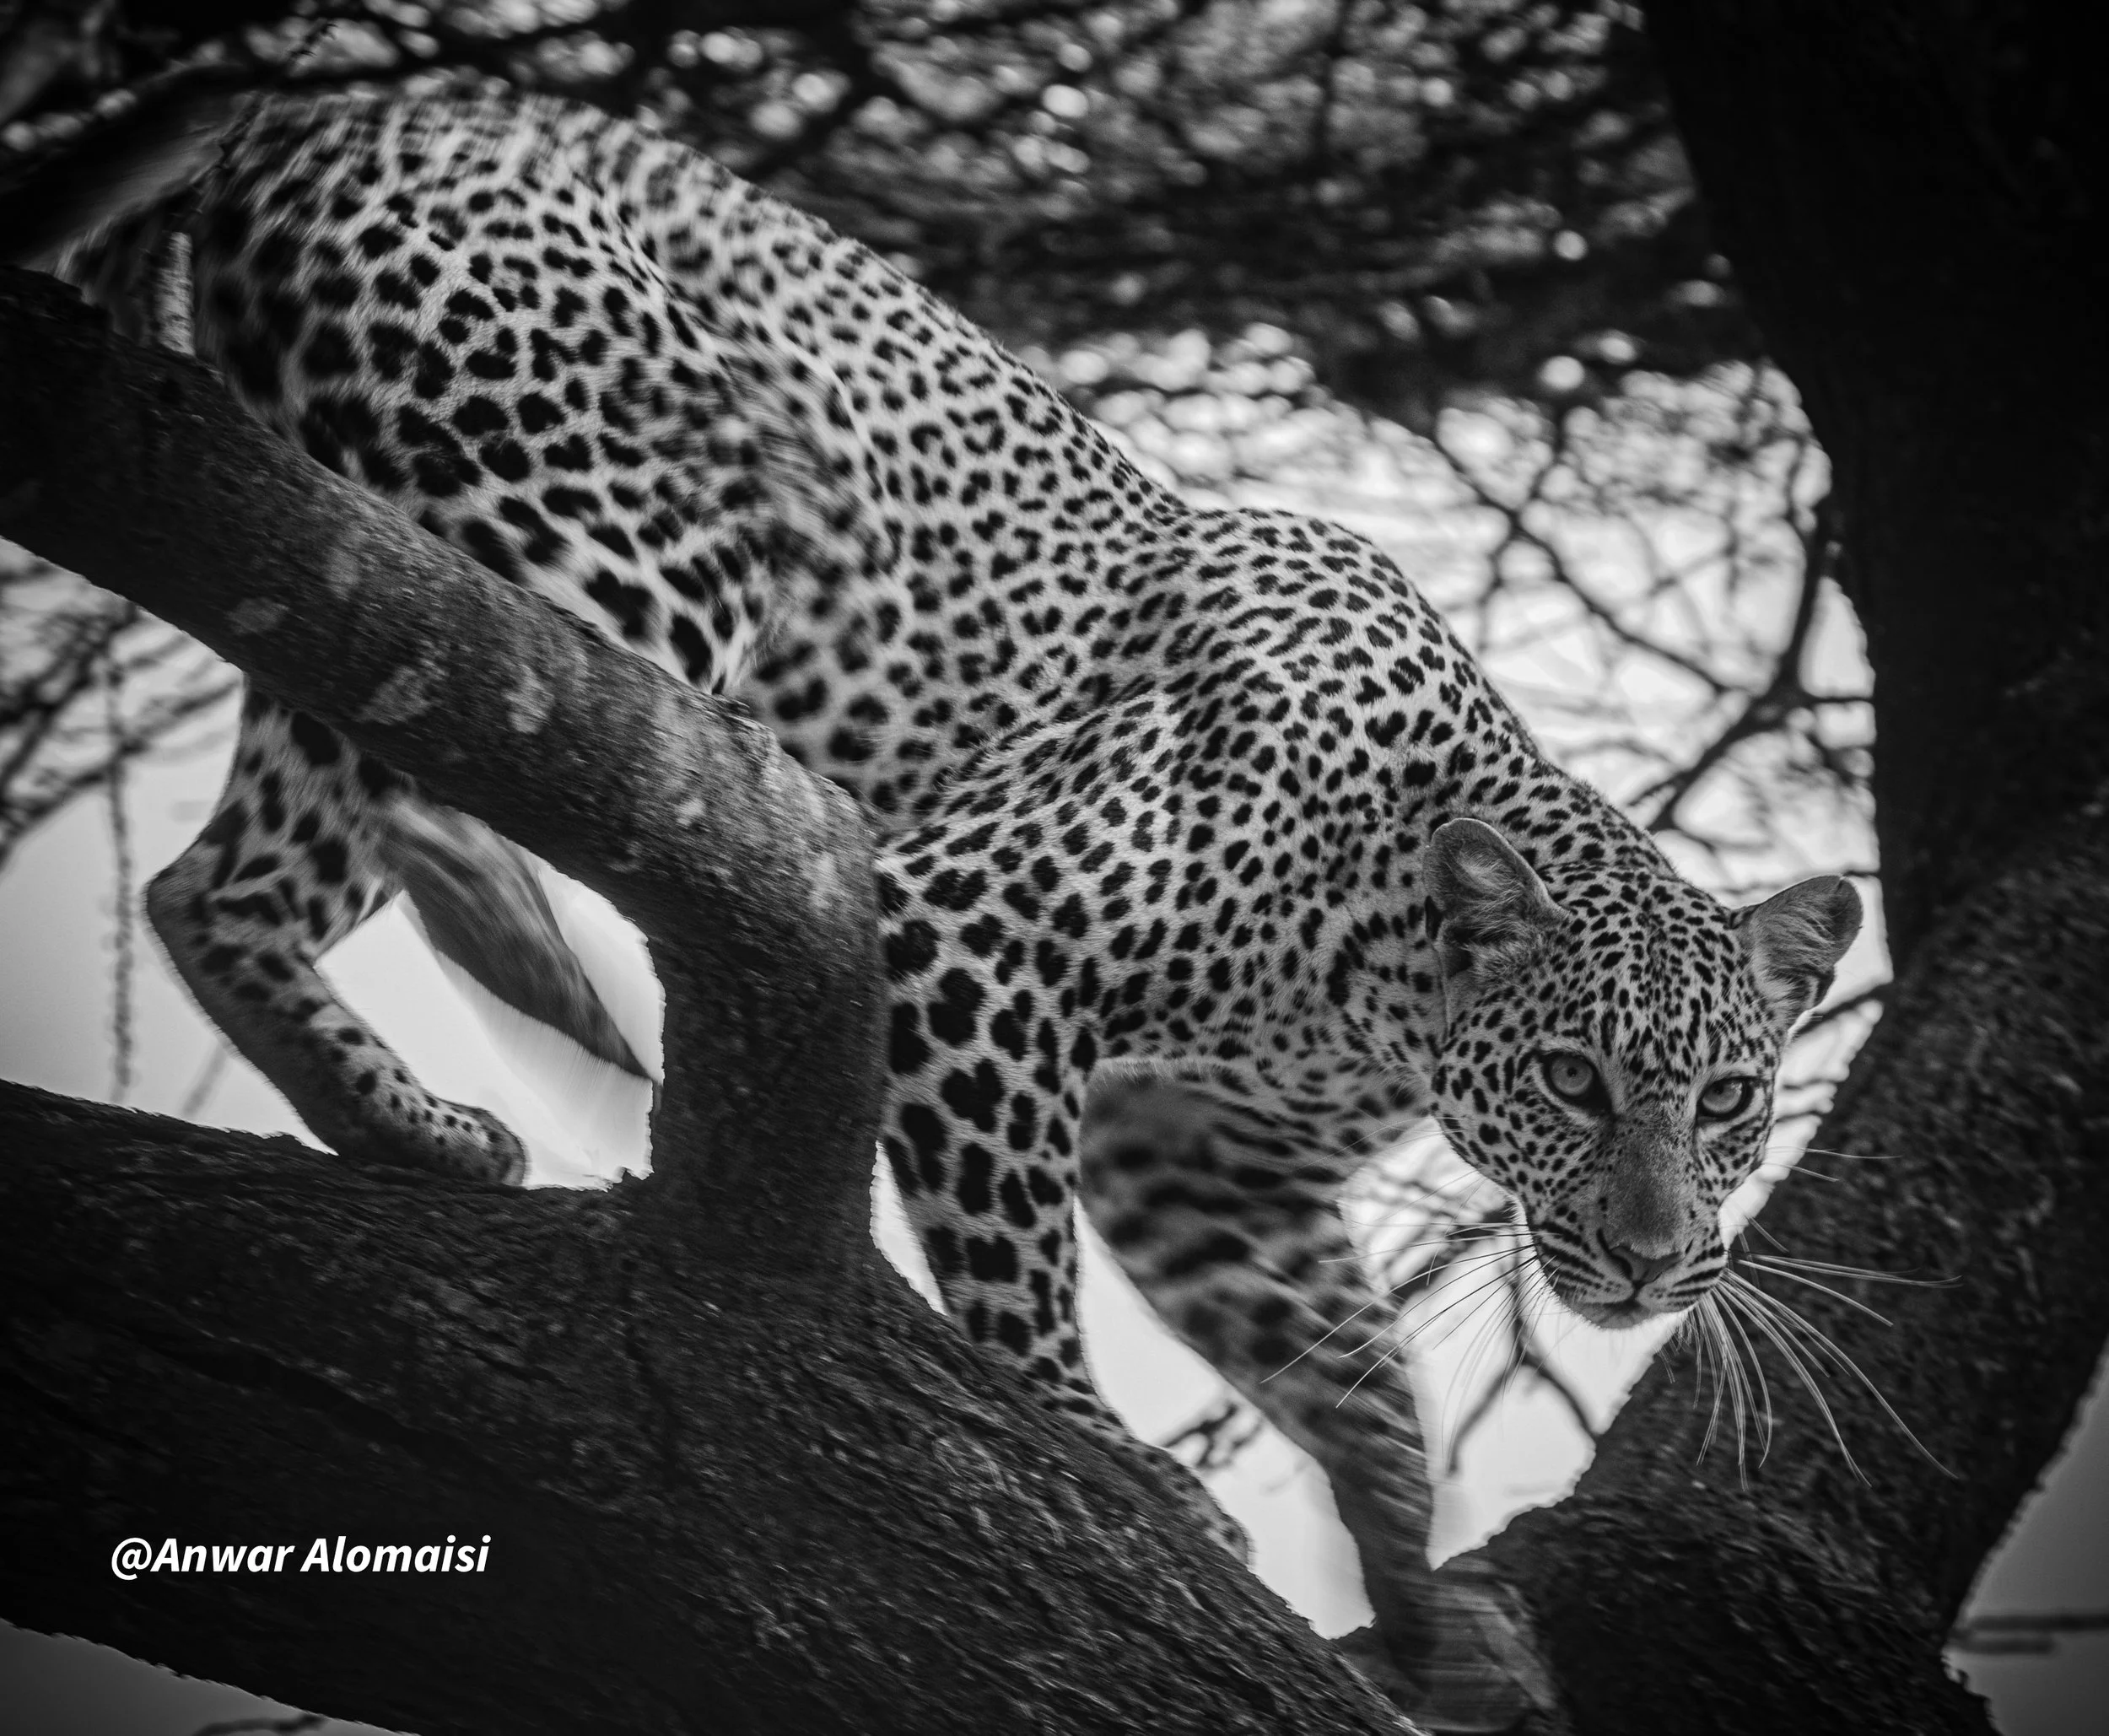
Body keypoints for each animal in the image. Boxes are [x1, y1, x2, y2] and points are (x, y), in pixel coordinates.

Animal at [5, 79, 1861, 1716]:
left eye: (1728, 1100)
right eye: (1572, 1079)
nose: (1651, 1263)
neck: (1387, 979)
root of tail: (307, 104)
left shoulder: (1199, 1158)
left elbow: (1350, 1369)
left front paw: (1421, 1606)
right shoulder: (979, 939)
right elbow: (1017, 1263)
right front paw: (1096, 1451)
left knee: (226, 876)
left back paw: (410, 1122)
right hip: (626, 523)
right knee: (466, 717)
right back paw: (522, 950)